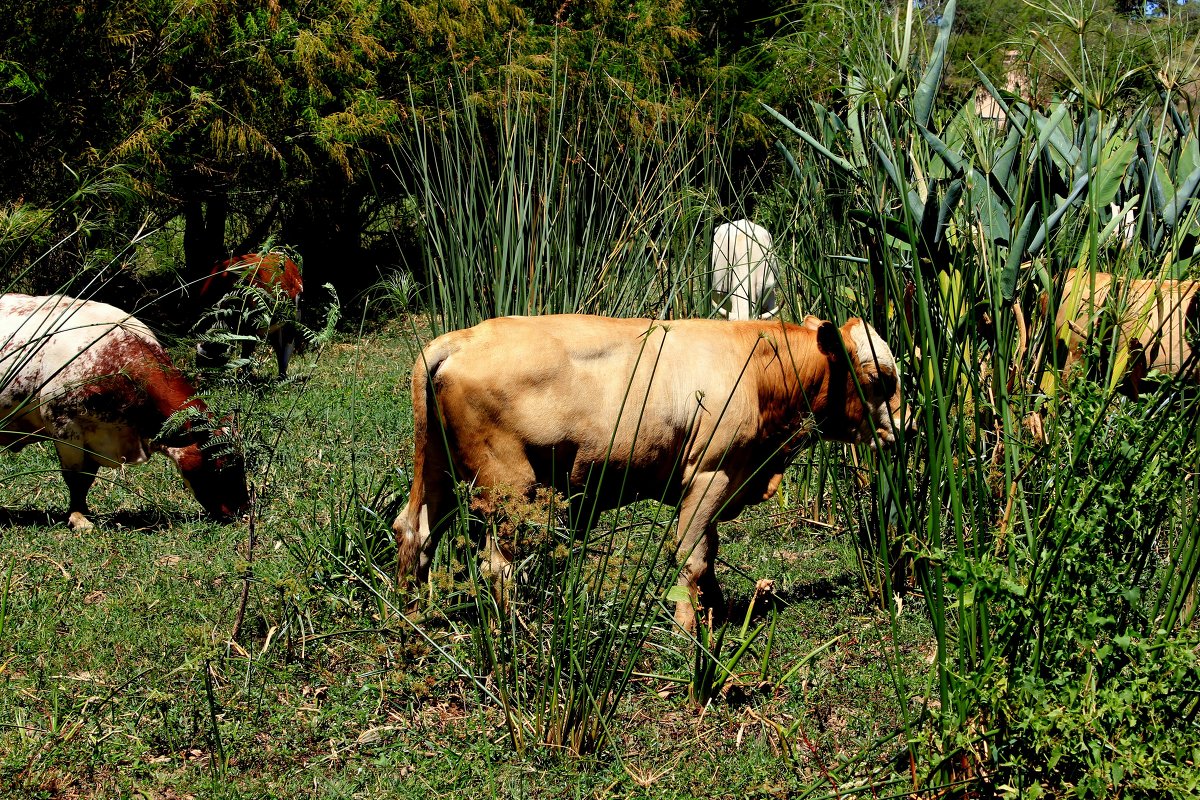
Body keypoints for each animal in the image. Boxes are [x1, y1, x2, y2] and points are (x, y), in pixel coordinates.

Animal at [0, 291, 248, 527]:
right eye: (220, 463)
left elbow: (87, 479)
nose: (242, 510)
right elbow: (75, 478)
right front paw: (79, 518)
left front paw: (84, 513)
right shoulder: (64, 428)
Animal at [393, 311, 907, 633]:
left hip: (438, 468)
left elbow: (709, 552)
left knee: (414, 531)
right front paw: (687, 629)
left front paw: (716, 608)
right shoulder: (712, 472)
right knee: (496, 565)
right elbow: (691, 556)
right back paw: (519, 631)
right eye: (881, 379)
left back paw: (412, 616)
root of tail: (460, 338)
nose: (905, 430)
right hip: (510, 487)